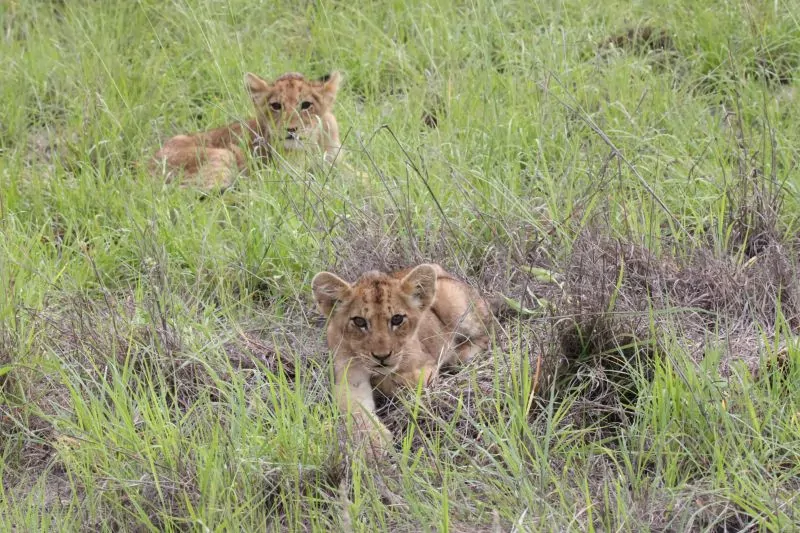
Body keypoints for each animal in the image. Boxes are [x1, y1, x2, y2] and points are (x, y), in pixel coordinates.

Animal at [153, 71, 342, 190]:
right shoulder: (288, 175)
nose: (291, 129)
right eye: (276, 106)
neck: (314, 145)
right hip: (222, 156)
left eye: (306, 105)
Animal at [312, 263, 492, 453]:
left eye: (397, 319)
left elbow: (406, 382)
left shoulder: (425, 367)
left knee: (486, 336)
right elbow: (355, 409)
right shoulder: (349, 378)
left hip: (453, 300)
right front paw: (374, 442)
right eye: (359, 321)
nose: (381, 356)